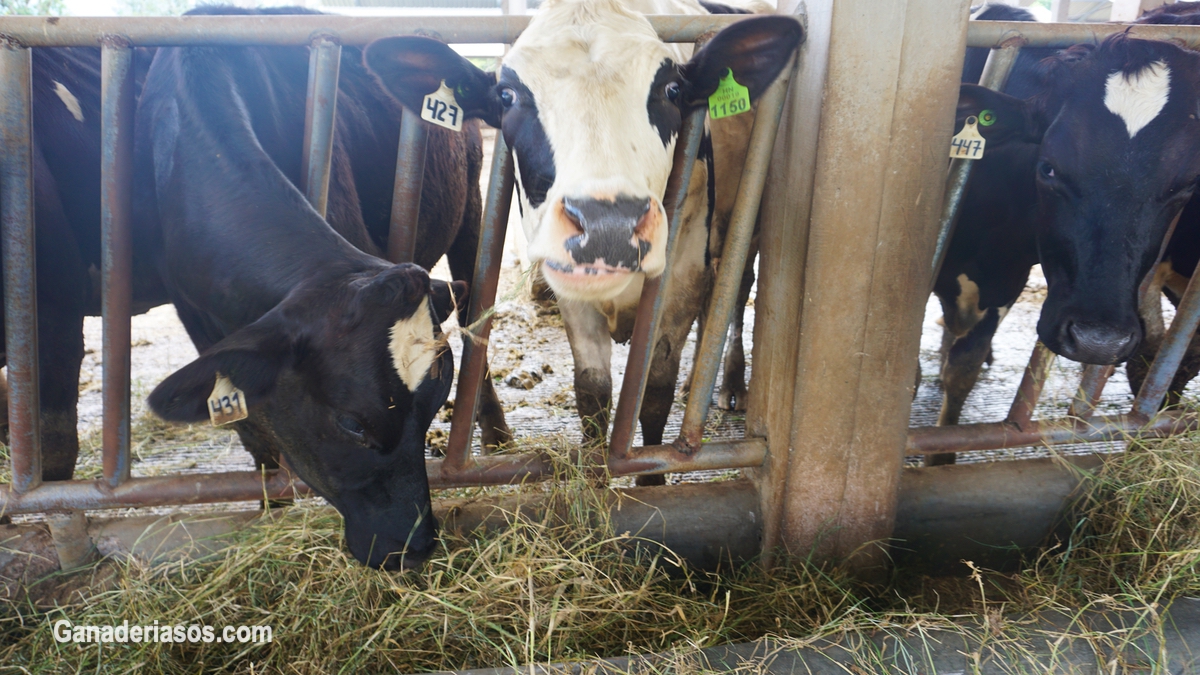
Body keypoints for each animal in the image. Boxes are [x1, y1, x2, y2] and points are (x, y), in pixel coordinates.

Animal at [137, 7, 501, 566]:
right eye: (352, 423)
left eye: (434, 400)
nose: (412, 547)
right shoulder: (196, 315)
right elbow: (249, 426)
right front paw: (271, 504)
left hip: (474, 211)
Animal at [360, 0, 801, 478]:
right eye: (506, 96)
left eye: (671, 91)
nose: (608, 223)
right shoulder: (567, 279)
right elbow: (593, 392)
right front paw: (596, 472)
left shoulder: (684, 272)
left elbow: (654, 393)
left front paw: (650, 479)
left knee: (735, 293)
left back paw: (730, 383)